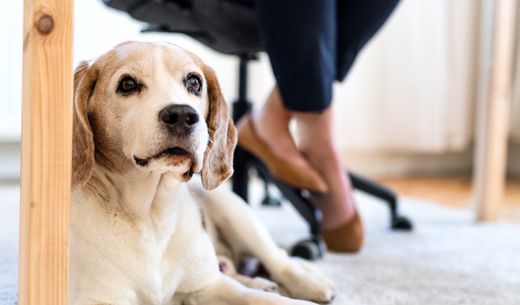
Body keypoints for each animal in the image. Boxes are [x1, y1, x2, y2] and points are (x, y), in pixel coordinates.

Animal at [71, 41, 336, 304]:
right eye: (127, 84)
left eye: (194, 82)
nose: (182, 115)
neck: (152, 217)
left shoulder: (209, 286)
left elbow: (269, 300)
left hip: (235, 210)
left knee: (279, 259)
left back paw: (309, 282)